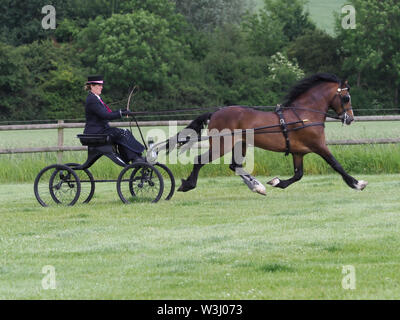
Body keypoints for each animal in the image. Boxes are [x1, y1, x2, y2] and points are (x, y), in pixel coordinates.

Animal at [166, 74, 368, 195]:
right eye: (346, 97)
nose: (350, 118)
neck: (305, 115)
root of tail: (216, 113)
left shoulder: (298, 152)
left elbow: (298, 175)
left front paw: (277, 182)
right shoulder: (319, 146)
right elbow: (336, 165)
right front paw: (357, 183)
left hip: (240, 144)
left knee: (234, 166)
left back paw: (257, 186)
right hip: (221, 145)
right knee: (200, 160)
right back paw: (187, 185)